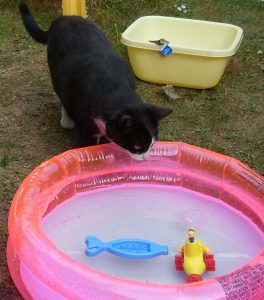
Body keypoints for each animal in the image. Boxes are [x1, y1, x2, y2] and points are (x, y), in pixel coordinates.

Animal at [18, 2, 171, 159]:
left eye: (152, 144)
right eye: (137, 146)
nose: (146, 158)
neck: (115, 89)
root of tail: (64, 19)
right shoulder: (85, 125)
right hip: (56, 71)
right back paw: (67, 120)